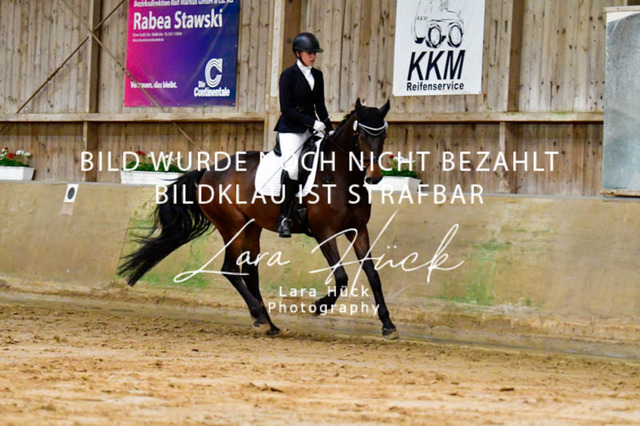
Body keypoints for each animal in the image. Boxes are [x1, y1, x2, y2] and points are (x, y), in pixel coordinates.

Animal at [119, 98, 399, 340]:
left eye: (383, 135)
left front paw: (388, 325)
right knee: (231, 269)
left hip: (252, 227)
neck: (340, 176)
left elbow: (373, 275)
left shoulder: (358, 230)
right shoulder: (324, 233)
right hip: (232, 226)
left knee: (250, 272)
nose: (374, 177)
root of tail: (207, 172)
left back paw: (268, 322)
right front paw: (318, 306)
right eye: (361, 136)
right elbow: (341, 277)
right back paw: (261, 318)